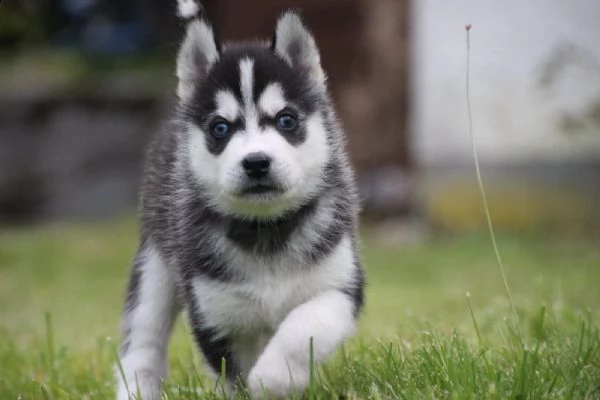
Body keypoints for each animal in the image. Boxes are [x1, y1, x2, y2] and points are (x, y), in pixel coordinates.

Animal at [115, 1, 364, 398]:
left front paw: (272, 378)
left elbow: (301, 331)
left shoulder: (337, 286)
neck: (265, 230)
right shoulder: (217, 314)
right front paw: (257, 383)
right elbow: (235, 376)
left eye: (286, 120)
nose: (256, 162)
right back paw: (138, 385)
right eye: (220, 128)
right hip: (154, 266)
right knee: (143, 339)